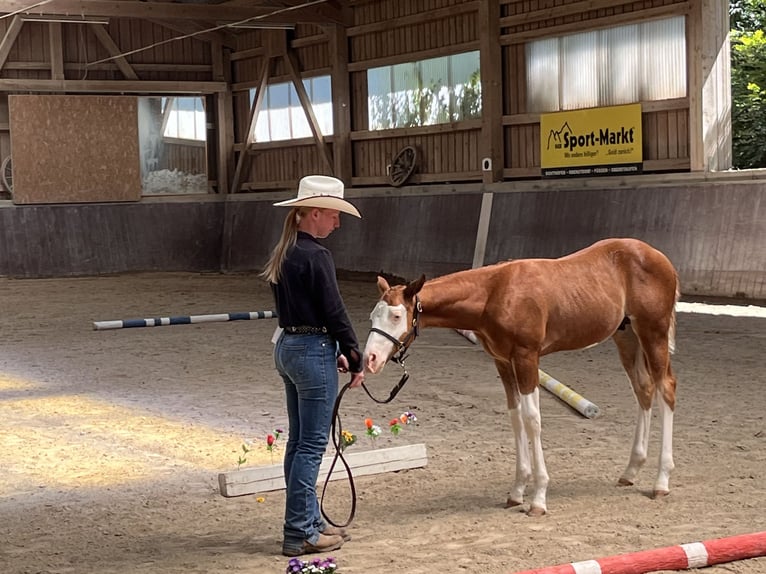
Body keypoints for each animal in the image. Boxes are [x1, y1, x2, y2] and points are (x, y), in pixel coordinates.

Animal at [362, 238, 679, 516]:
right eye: (372, 316)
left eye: (396, 317)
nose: (370, 360)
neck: (496, 293)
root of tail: (660, 258)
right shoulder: (503, 362)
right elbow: (516, 418)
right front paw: (516, 492)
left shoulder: (527, 358)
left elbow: (532, 420)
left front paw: (538, 498)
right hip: (626, 336)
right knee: (644, 389)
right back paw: (631, 470)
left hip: (653, 332)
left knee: (666, 388)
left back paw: (661, 481)